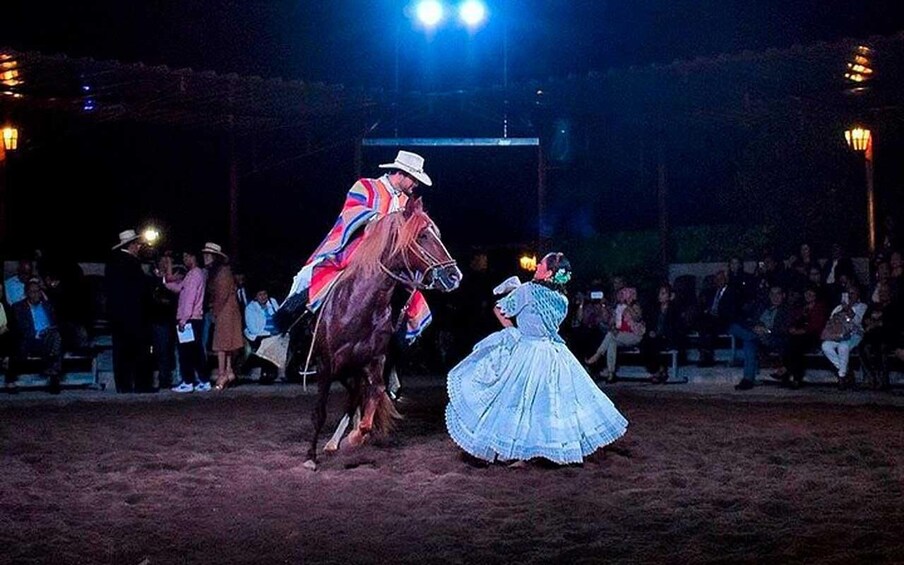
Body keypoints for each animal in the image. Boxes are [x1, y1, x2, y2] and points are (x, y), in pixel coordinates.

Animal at [304, 196, 460, 470]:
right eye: (421, 235)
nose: (453, 276)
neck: (357, 306)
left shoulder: (374, 361)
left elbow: (375, 395)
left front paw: (355, 439)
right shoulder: (326, 365)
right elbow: (319, 412)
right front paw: (311, 458)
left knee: (356, 398)